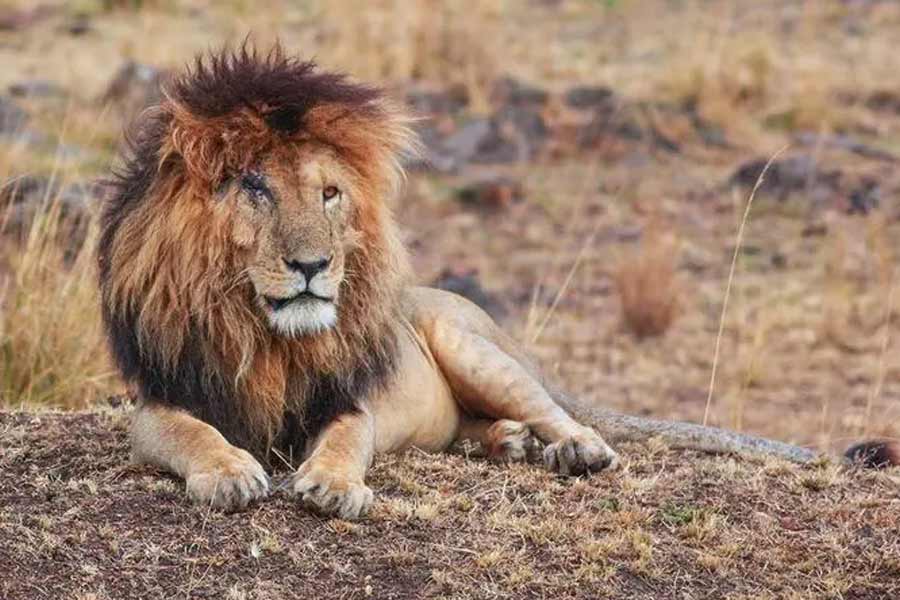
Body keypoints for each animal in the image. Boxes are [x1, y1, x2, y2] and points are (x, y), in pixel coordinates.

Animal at [98, 45, 898, 519]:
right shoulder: (162, 400)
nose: (312, 266)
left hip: (469, 343)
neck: (266, 336)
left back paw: (571, 449)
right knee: (482, 428)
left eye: (329, 194)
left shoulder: (349, 398)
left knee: (562, 412)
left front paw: (332, 484)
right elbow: (191, 434)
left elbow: (346, 438)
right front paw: (229, 471)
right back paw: (508, 444)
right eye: (256, 188)